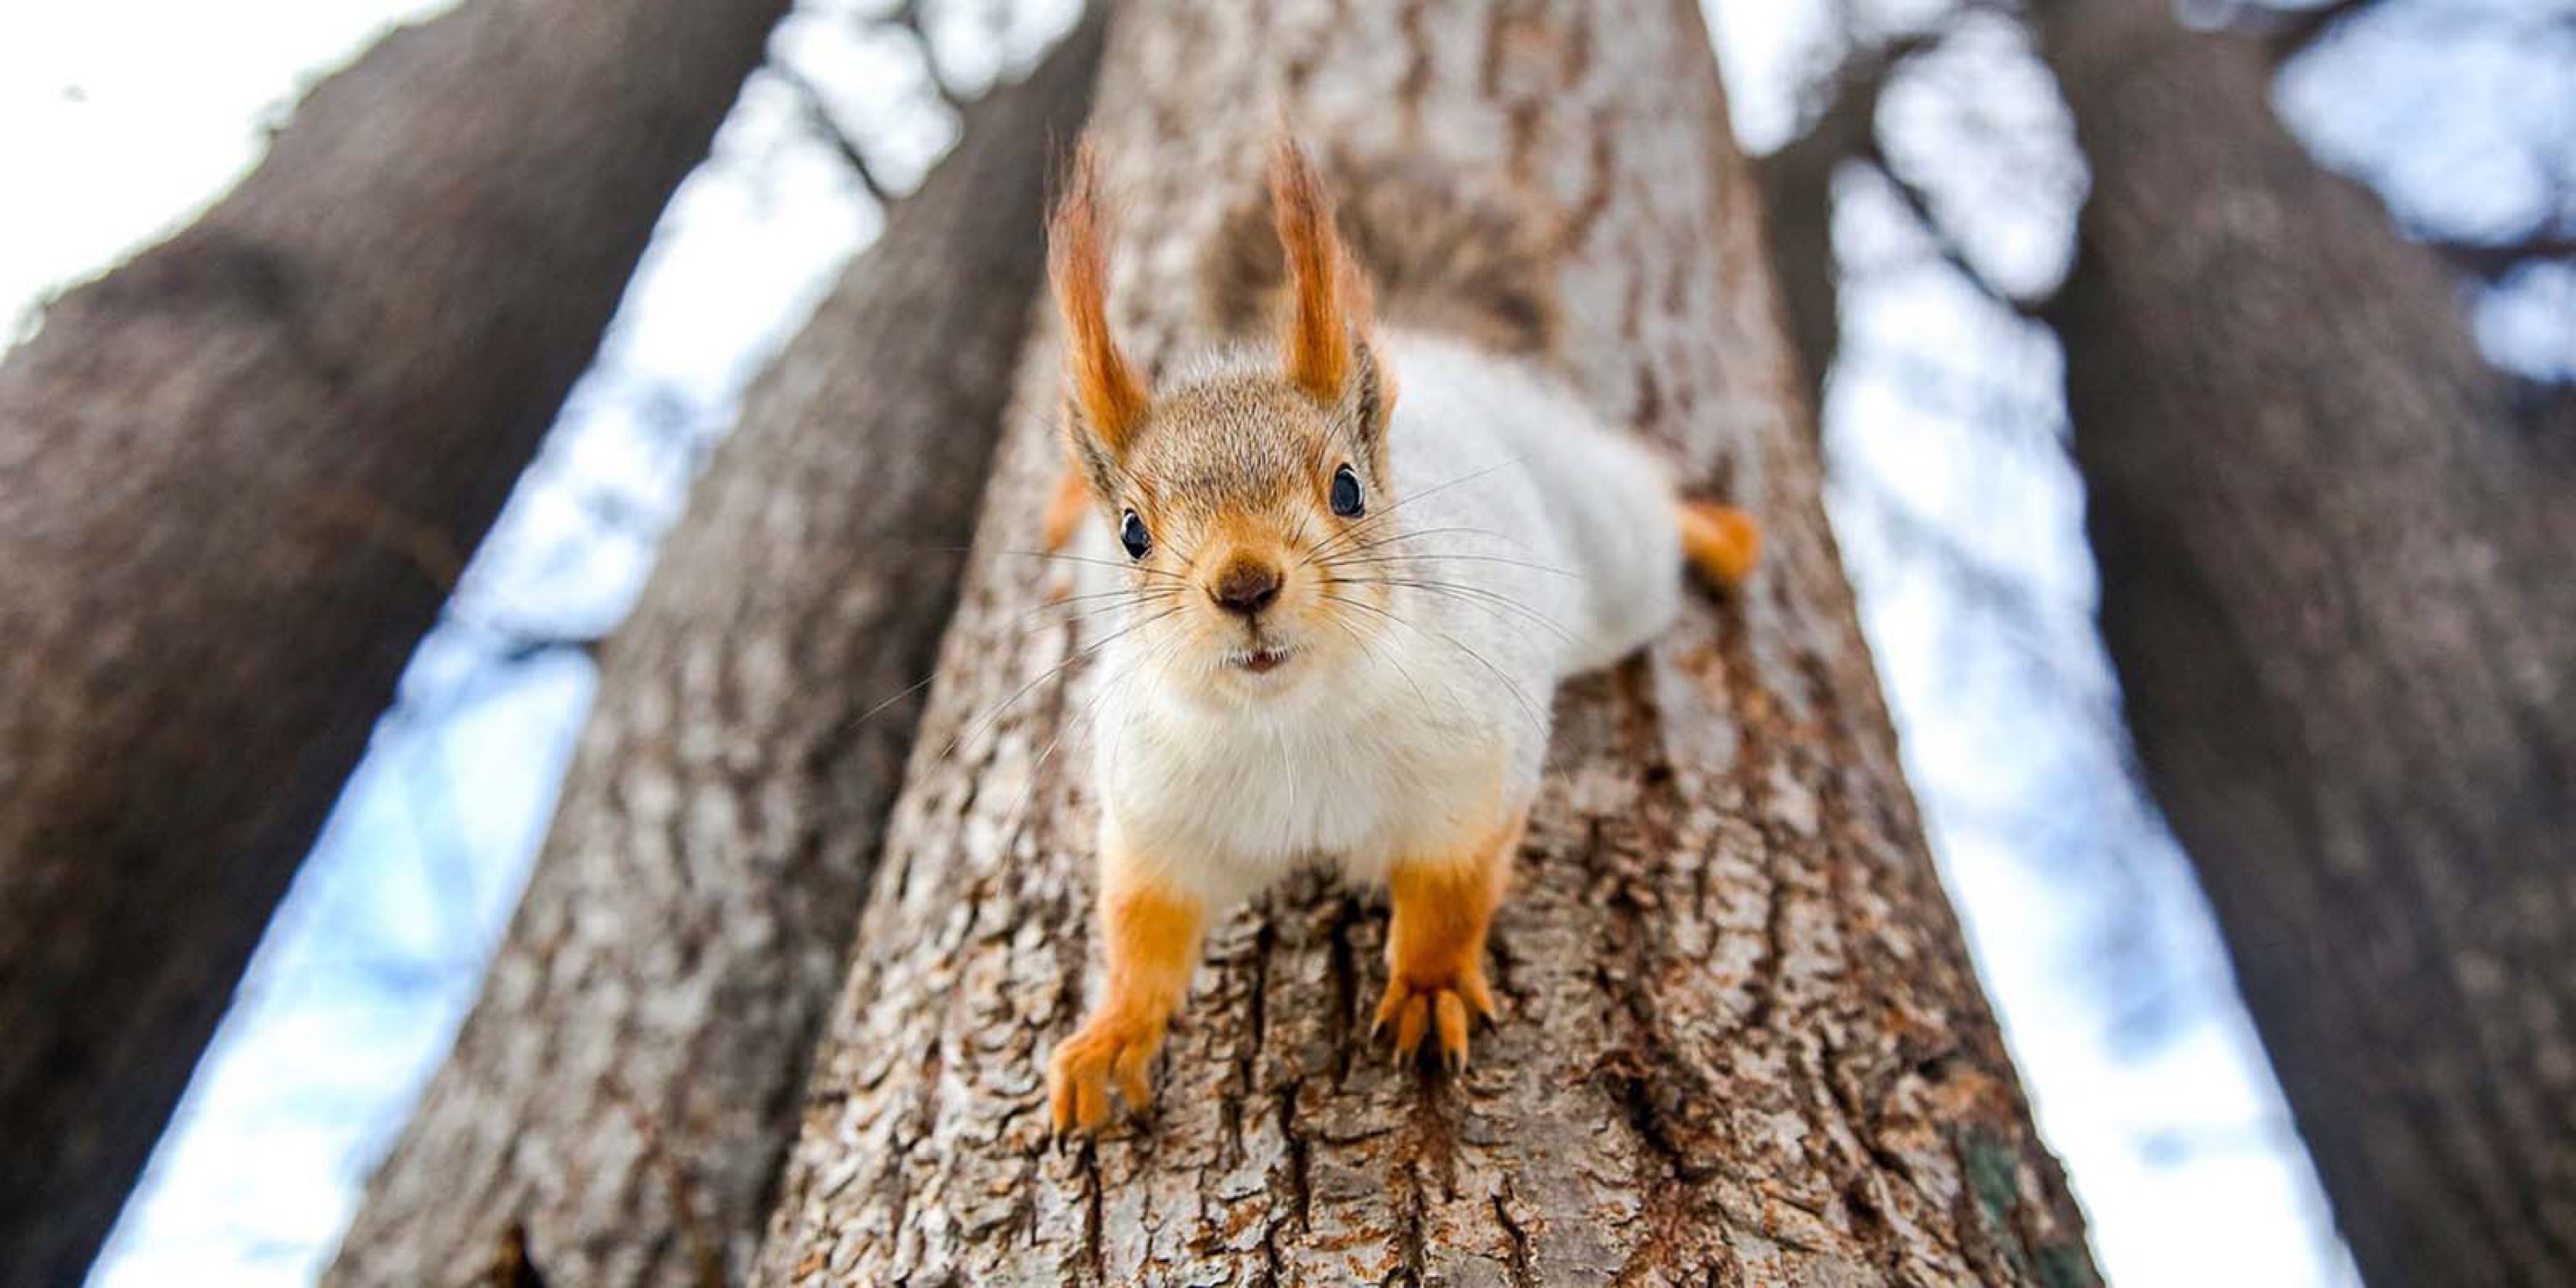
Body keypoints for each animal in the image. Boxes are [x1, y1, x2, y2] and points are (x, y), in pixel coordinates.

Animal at [1036, 136, 1762, 1133]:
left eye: (1349, 488)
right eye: (1133, 534)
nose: (1244, 585)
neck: (1289, 726)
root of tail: (1432, 350)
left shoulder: (1475, 766)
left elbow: (1452, 892)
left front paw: (1429, 986)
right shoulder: (1156, 818)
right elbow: (1143, 932)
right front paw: (1111, 1036)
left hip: (1616, 557)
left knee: (1650, 501)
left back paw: (1723, 536)